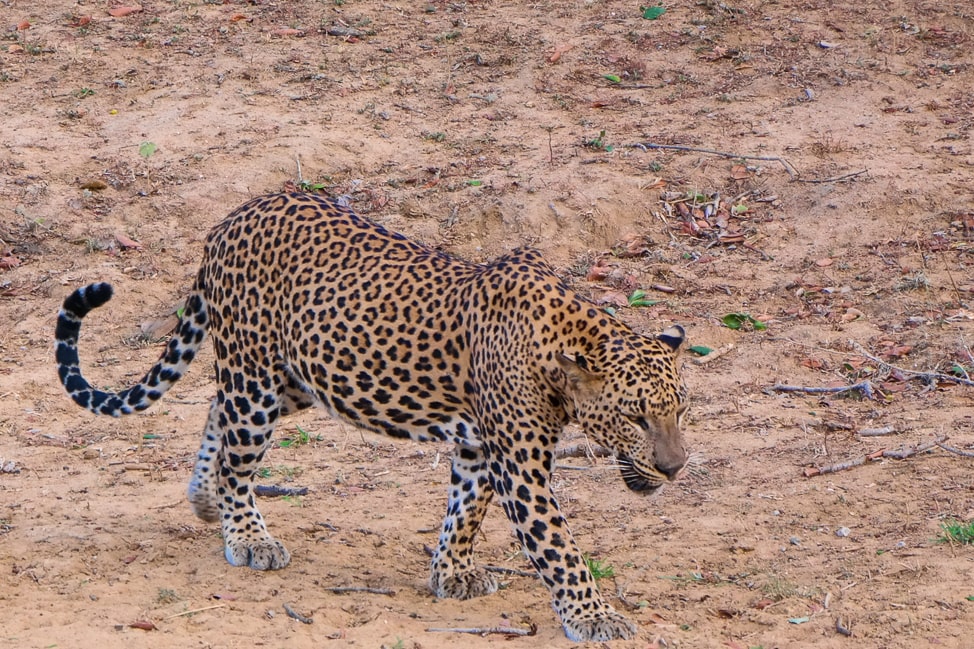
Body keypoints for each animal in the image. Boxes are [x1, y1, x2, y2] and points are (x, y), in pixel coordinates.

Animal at [55, 190, 692, 640]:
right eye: (635, 418)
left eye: (681, 409)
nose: (674, 468)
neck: (566, 344)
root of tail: (231, 218)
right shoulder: (519, 464)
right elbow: (558, 546)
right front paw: (593, 616)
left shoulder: (478, 446)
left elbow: (466, 512)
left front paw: (450, 573)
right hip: (256, 376)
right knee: (239, 457)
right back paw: (247, 535)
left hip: (300, 376)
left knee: (218, 411)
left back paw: (204, 496)